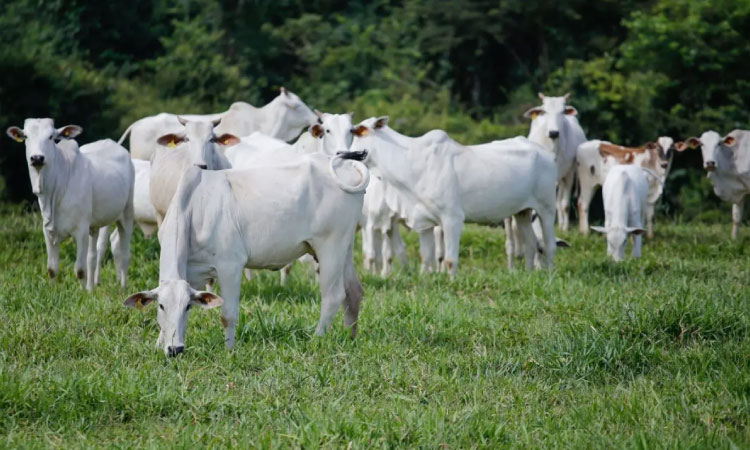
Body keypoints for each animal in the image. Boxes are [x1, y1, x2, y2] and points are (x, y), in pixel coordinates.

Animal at [6, 118, 135, 290]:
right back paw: (91, 288)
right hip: (95, 225)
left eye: (51, 137)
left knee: (124, 253)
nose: (37, 158)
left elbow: (80, 269)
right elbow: (52, 269)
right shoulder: (48, 230)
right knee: (93, 256)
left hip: (126, 215)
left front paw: (81, 293)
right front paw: (53, 290)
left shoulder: (81, 230)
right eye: (26, 136)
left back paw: (122, 288)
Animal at [122, 153, 372, 356]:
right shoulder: (193, 272)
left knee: (333, 296)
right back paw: (350, 338)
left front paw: (229, 350)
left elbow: (228, 314)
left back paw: (317, 339)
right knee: (354, 291)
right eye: (161, 306)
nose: (175, 349)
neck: (193, 208)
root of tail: (344, 165)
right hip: (344, 246)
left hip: (330, 245)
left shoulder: (230, 266)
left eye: (188, 306)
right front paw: (159, 344)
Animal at [352, 116, 560, 278]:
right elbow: (425, 256)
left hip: (546, 208)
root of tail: (548, 155)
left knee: (549, 244)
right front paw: (425, 277)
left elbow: (450, 259)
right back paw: (529, 273)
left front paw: (451, 280)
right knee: (531, 244)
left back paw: (549, 274)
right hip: (522, 212)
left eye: (361, 131)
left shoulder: (452, 218)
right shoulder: (424, 222)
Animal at [524, 92, 588, 230]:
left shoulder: (569, 174)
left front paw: (564, 228)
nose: (553, 132)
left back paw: (562, 225)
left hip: (565, 176)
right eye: (544, 111)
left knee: (560, 202)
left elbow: (564, 204)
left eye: (562, 111)